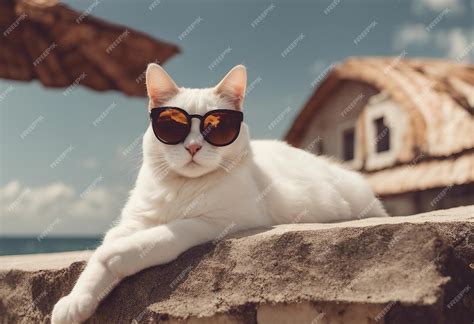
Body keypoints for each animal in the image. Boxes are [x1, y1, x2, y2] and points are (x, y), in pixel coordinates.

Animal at [50, 64, 386, 322]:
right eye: (173, 125)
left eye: (215, 127)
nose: (193, 147)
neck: (180, 188)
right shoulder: (132, 223)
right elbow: (95, 265)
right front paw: (75, 301)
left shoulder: (218, 221)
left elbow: (157, 237)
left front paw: (117, 255)